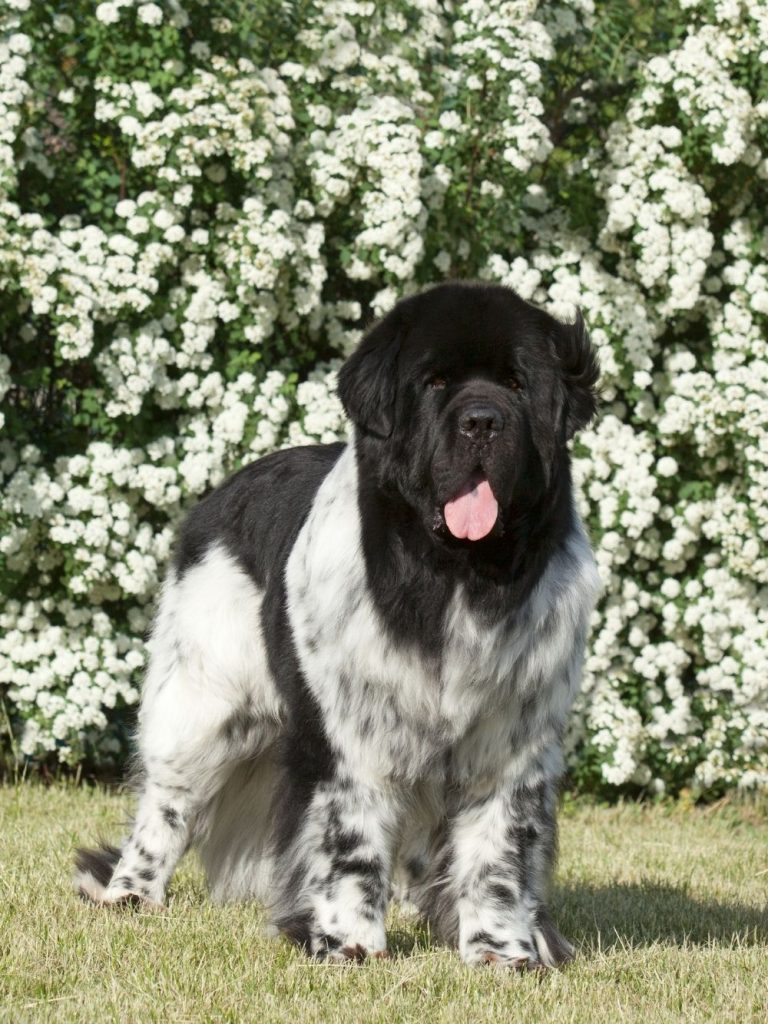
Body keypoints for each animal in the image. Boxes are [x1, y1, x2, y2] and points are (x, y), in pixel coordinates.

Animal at [79, 280, 606, 966]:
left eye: (518, 384)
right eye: (435, 382)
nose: (482, 421)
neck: (454, 578)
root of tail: (222, 492)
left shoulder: (512, 740)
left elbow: (500, 851)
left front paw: (501, 950)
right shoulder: (350, 731)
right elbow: (350, 837)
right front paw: (350, 943)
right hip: (201, 703)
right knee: (166, 803)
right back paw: (131, 893)